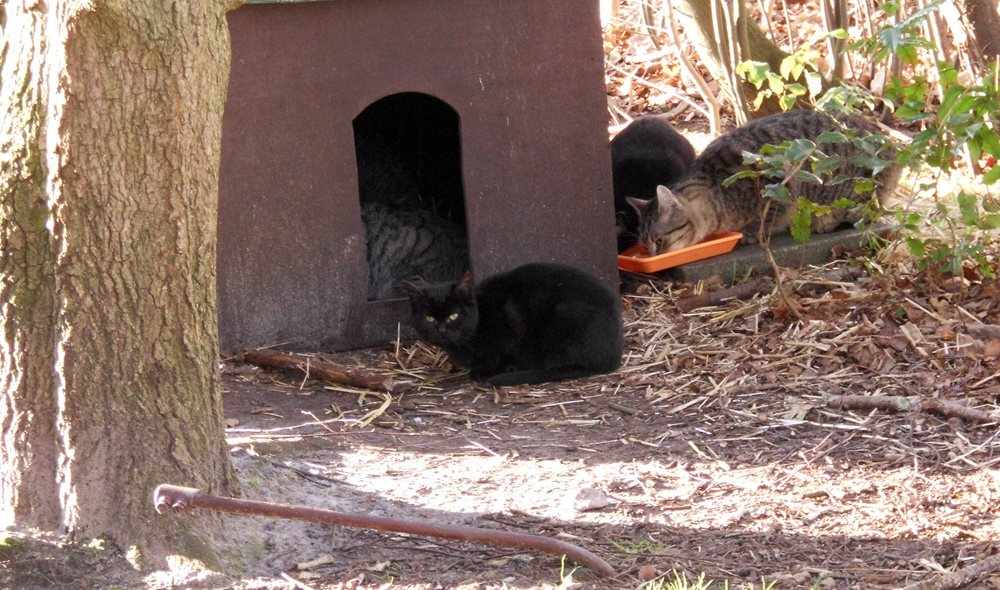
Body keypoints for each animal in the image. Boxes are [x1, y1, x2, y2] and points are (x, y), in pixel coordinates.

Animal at [402, 264, 620, 388]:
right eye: (430, 318)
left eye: (454, 315)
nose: (442, 330)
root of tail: (614, 355)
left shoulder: (512, 320)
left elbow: (504, 354)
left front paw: (487, 370)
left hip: (566, 314)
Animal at [628, 110, 904, 256]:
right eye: (644, 244)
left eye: (659, 242)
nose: (653, 256)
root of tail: (891, 144)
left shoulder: (780, 187)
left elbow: (766, 219)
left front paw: (751, 234)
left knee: (864, 212)